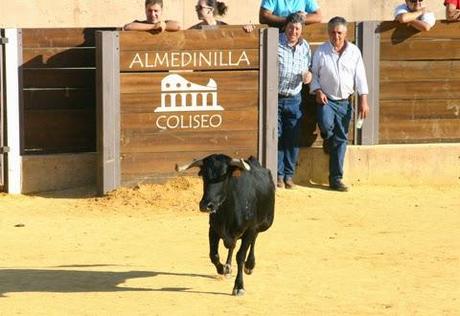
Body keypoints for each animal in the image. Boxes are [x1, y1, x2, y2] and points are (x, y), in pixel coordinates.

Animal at [176, 154, 274, 296]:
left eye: (224, 176)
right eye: (204, 174)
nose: (206, 205)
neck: (228, 211)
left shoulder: (250, 229)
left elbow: (240, 256)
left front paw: (239, 286)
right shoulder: (213, 229)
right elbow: (214, 255)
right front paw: (222, 269)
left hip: (264, 224)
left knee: (253, 241)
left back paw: (249, 265)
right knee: (232, 246)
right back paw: (228, 267)